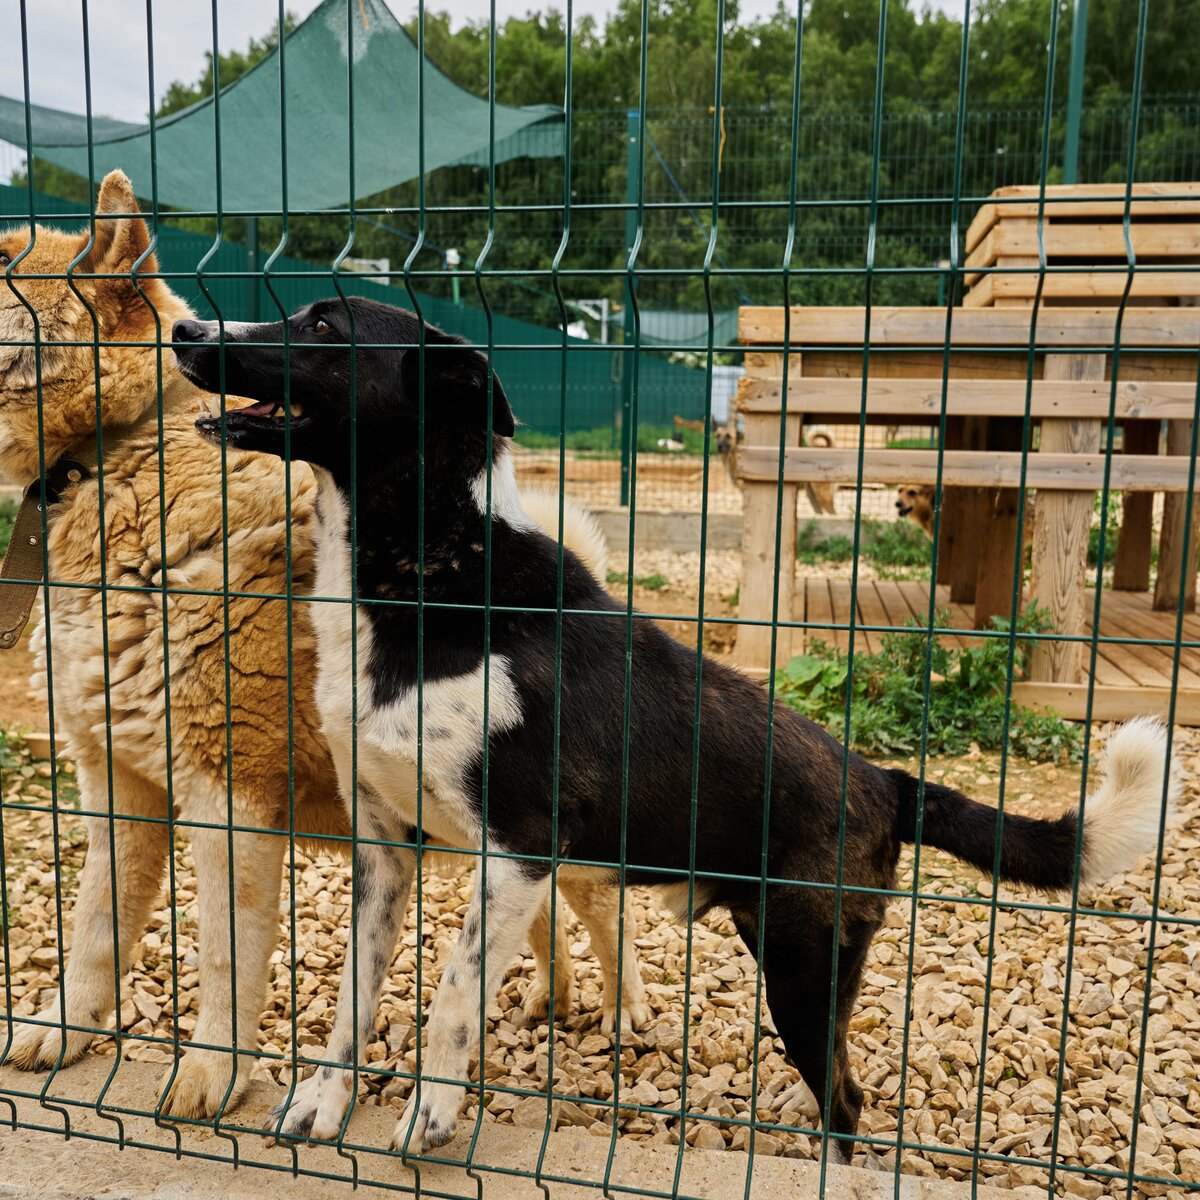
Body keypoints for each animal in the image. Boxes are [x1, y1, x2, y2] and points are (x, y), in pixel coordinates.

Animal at [0, 174, 648, 1118]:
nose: (197, 339)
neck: (125, 464)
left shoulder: (228, 797)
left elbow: (224, 956)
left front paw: (212, 1075)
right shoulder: (117, 786)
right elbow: (94, 932)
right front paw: (64, 1032)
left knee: (605, 916)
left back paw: (626, 1011)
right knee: (539, 919)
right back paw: (549, 997)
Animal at [175, 297, 1171, 1161]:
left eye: (325, 326)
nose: (186, 331)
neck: (434, 579)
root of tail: (885, 780)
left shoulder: (520, 850)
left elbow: (454, 993)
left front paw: (433, 1113)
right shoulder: (385, 846)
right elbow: (353, 998)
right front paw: (320, 1103)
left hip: (804, 966)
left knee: (847, 1099)